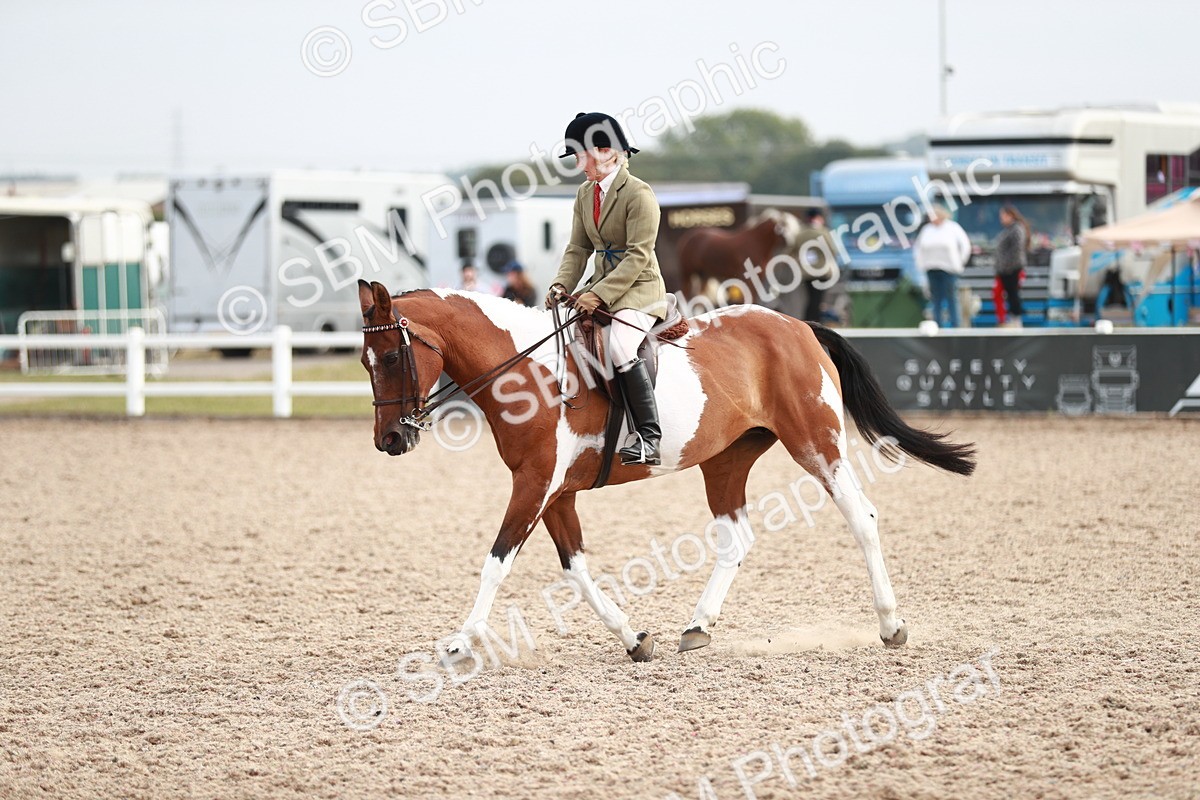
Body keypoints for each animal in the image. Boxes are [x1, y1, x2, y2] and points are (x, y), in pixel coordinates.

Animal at [357, 279, 975, 663]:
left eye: (390, 357)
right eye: (364, 361)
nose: (390, 440)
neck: (530, 373)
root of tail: (798, 325)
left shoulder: (534, 486)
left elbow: (495, 564)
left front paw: (458, 644)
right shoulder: (554, 493)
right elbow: (576, 571)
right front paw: (633, 638)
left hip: (815, 443)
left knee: (861, 516)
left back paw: (890, 625)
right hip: (726, 460)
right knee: (737, 538)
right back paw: (698, 627)